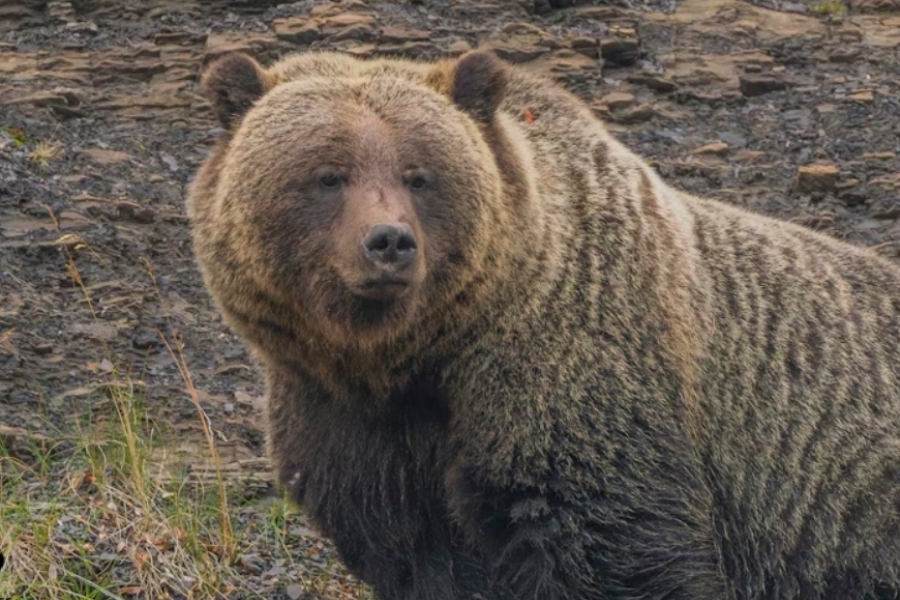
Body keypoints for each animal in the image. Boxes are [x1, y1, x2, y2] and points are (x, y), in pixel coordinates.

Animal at [187, 48, 900, 600]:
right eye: (328, 175)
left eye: (420, 176)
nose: (388, 242)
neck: (412, 355)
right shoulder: (345, 421)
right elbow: (412, 548)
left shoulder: (569, 377)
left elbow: (608, 544)